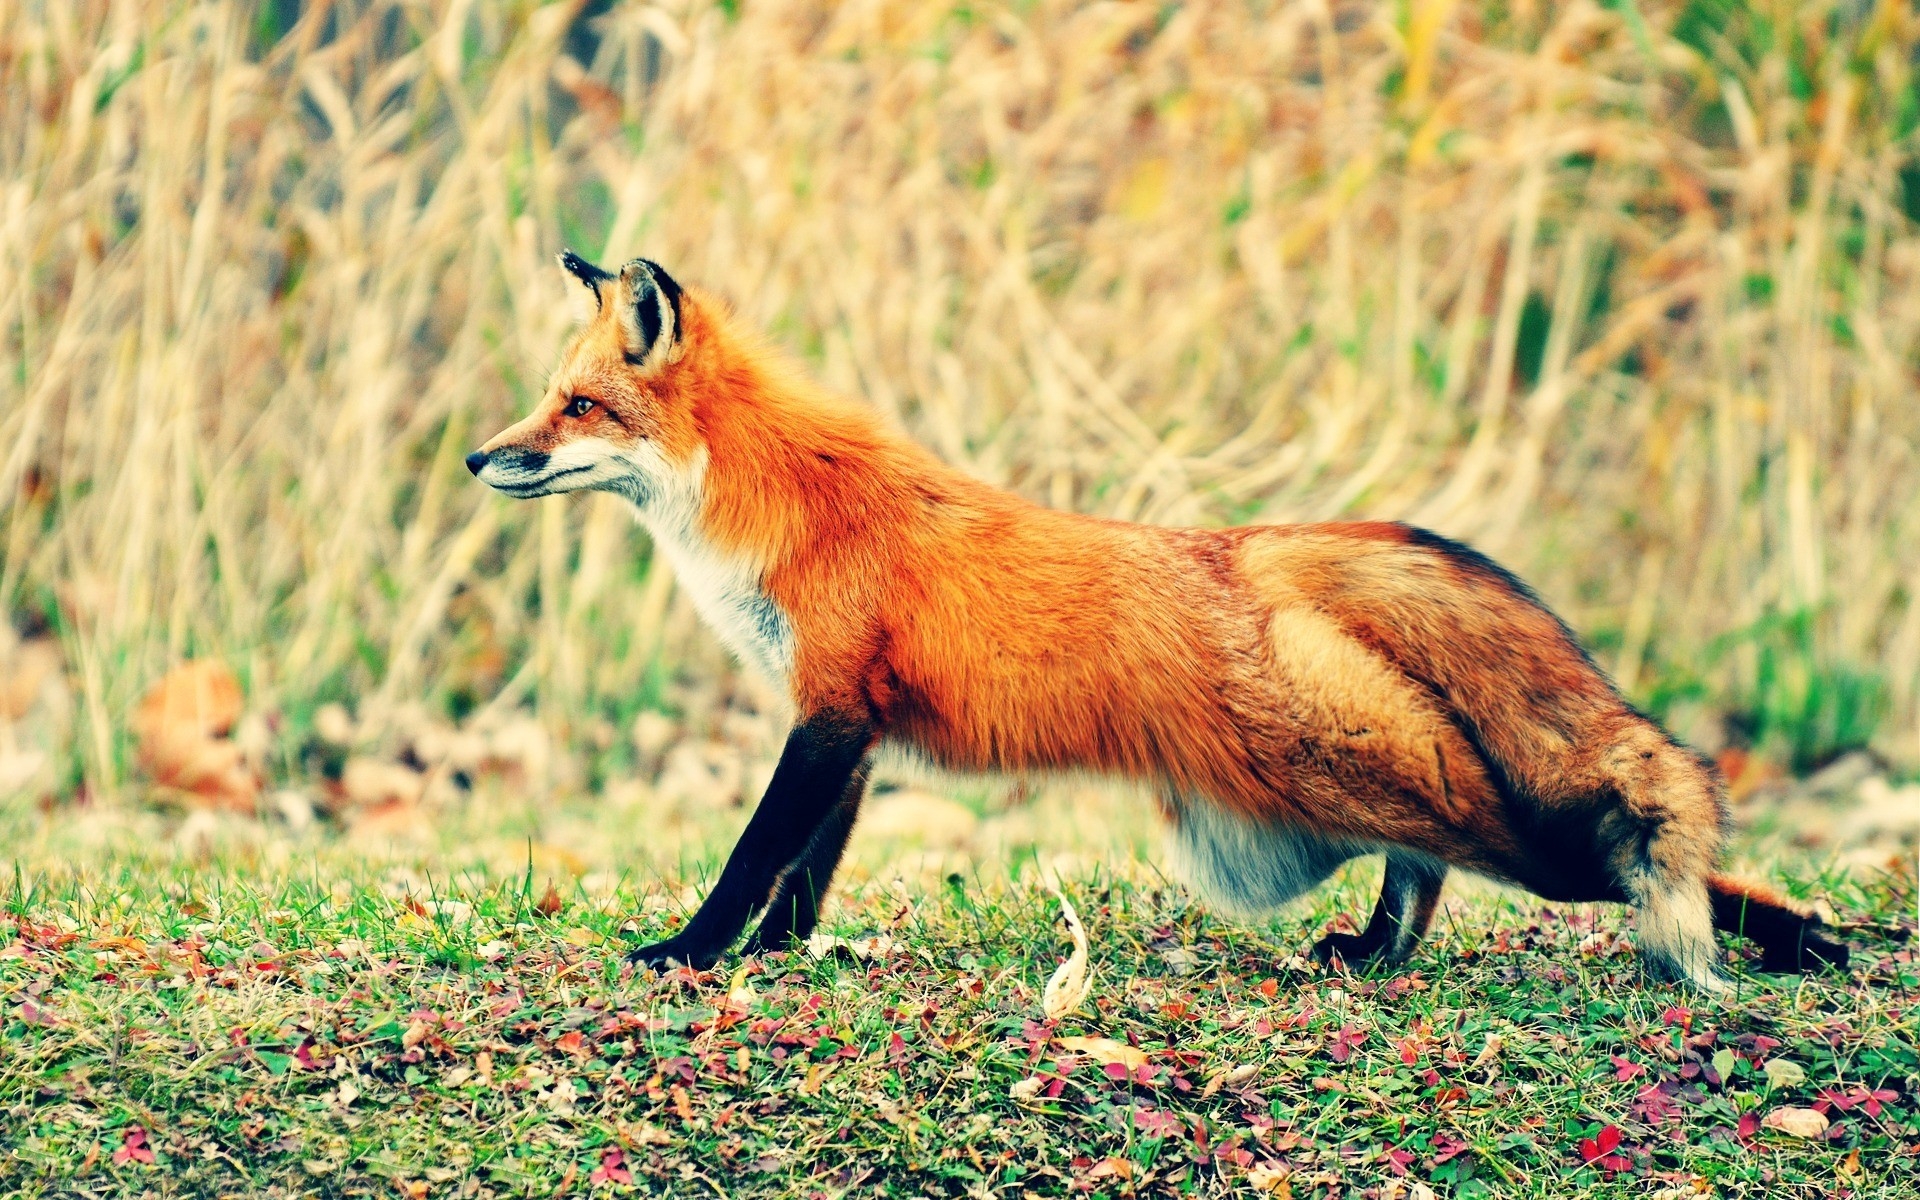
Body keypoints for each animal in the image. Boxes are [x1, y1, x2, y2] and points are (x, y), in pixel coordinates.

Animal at [466, 251, 1849, 991]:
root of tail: (1255, 551)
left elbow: (754, 857)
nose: (482, 456)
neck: (775, 512)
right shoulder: (851, 727)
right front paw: (775, 962)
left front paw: (688, 956)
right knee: (1440, 861)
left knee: (1581, 853)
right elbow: (803, 879)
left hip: (1337, 781)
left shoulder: (828, 715)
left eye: (579, 406)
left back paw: (1806, 937)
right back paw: (1381, 953)